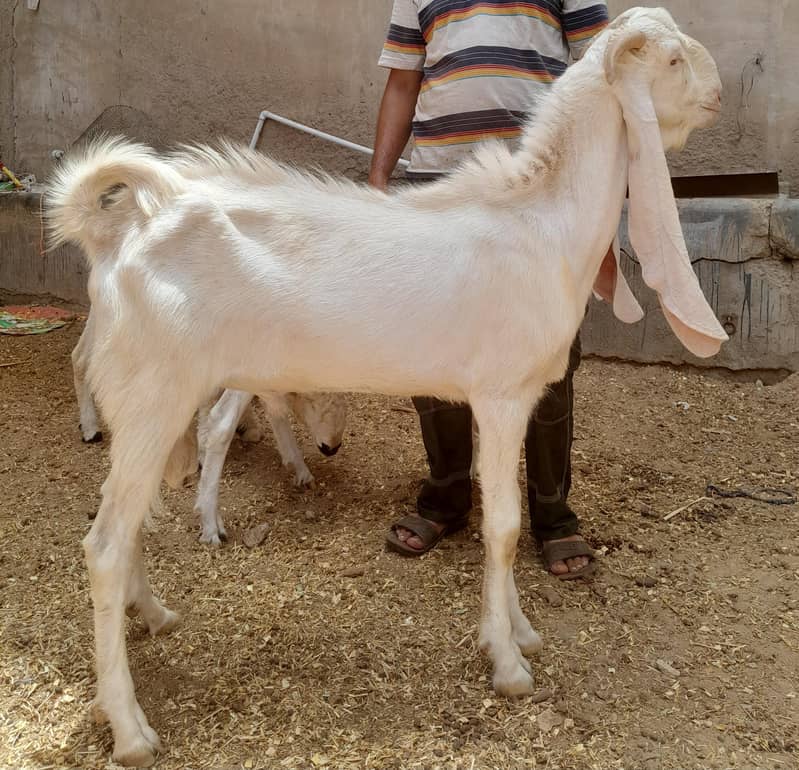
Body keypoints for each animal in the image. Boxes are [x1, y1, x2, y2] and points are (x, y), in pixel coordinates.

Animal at [47, 8, 726, 765]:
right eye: (671, 60)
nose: (718, 95)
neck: (541, 224)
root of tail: (118, 233)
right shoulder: (499, 396)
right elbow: (502, 526)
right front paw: (508, 664)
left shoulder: (515, 400)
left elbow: (506, 516)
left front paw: (518, 631)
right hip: (152, 400)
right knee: (104, 547)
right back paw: (131, 727)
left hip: (153, 408)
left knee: (128, 524)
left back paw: (155, 616)